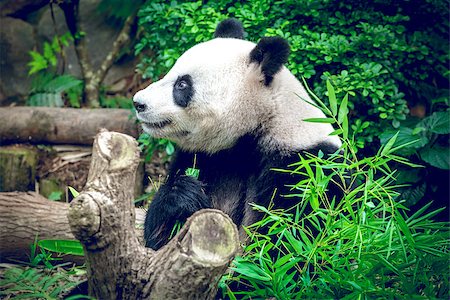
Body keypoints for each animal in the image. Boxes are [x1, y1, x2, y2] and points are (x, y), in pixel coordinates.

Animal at [134, 17, 342, 250]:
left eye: (182, 84)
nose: (138, 103)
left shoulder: (306, 167)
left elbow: (292, 237)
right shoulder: (203, 156)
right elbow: (160, 238)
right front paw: (182, 196)